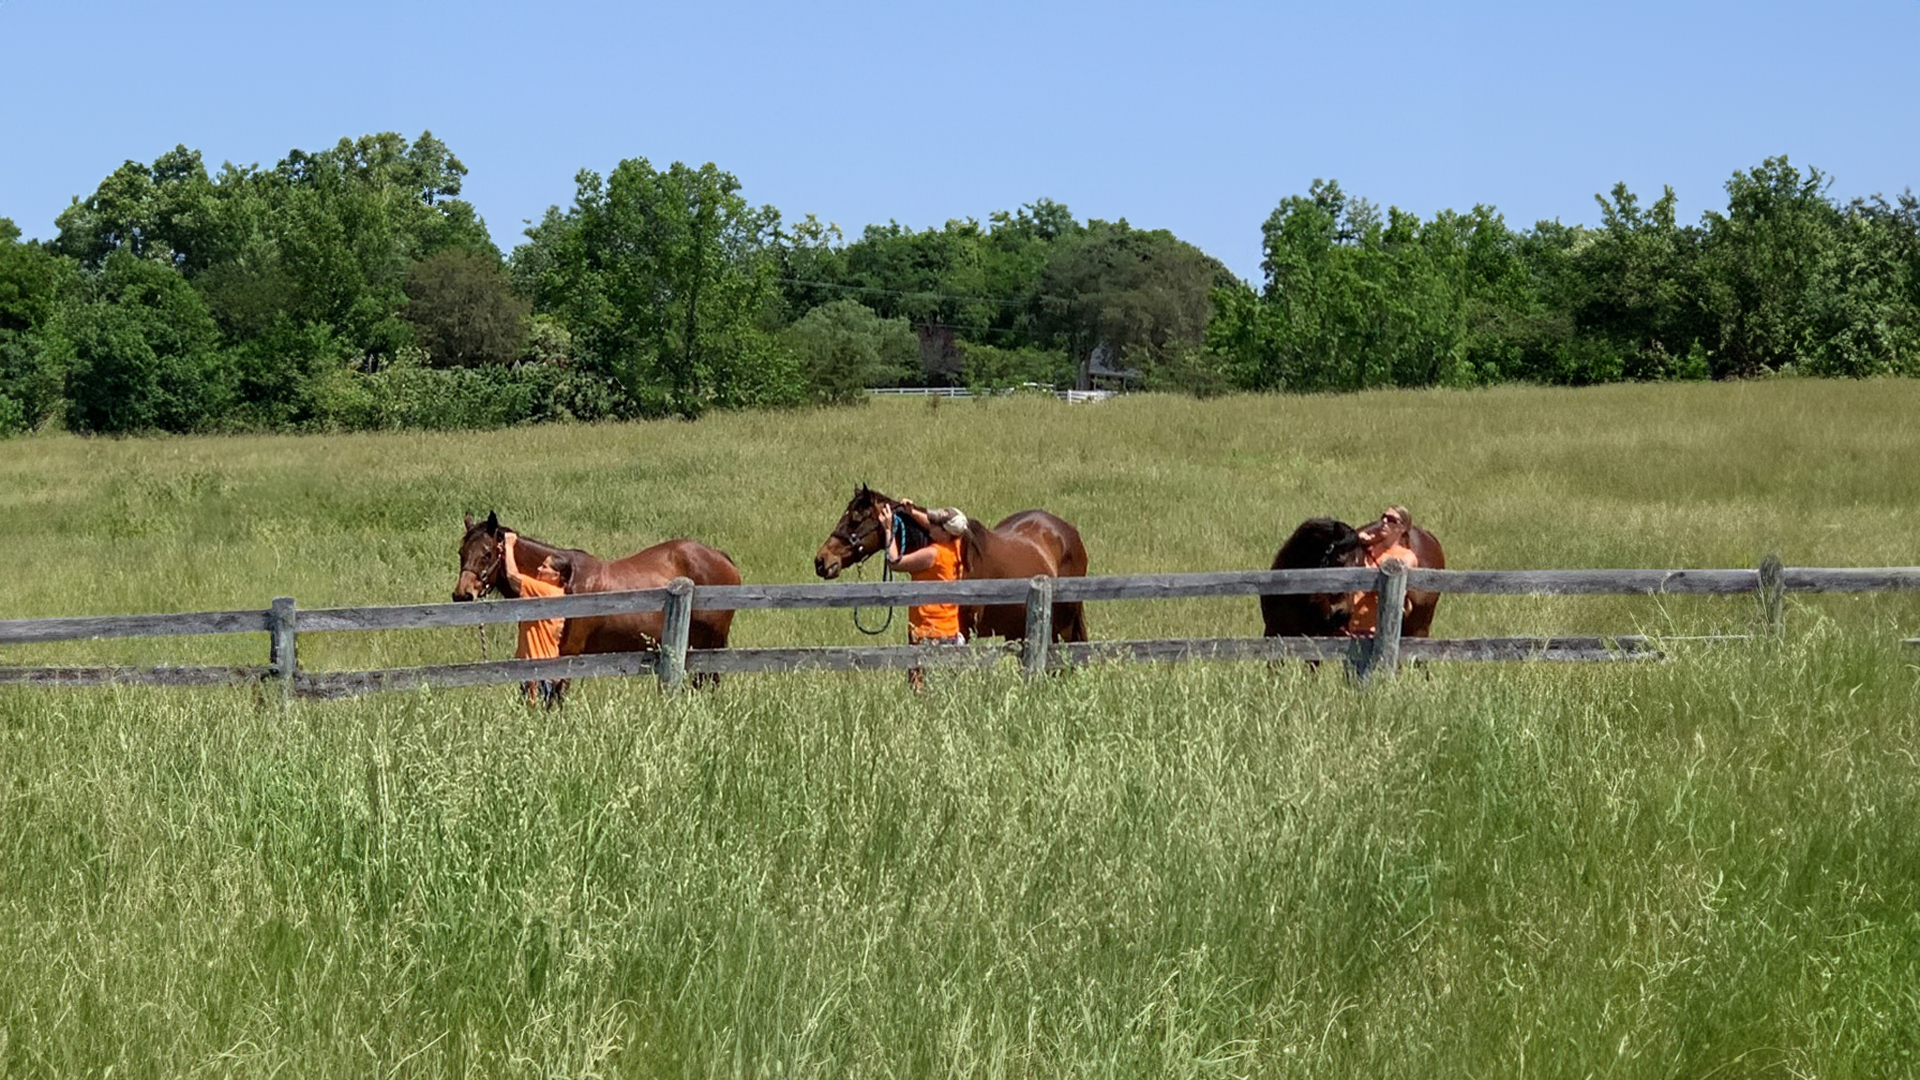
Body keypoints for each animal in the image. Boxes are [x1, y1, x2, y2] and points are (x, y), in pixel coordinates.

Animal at [452, 512, 742, 694]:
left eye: (487, 553)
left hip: (711, 643)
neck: (567, 583)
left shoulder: (568, 655)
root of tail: (721, 557)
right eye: (461, 552)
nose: (461, 594)